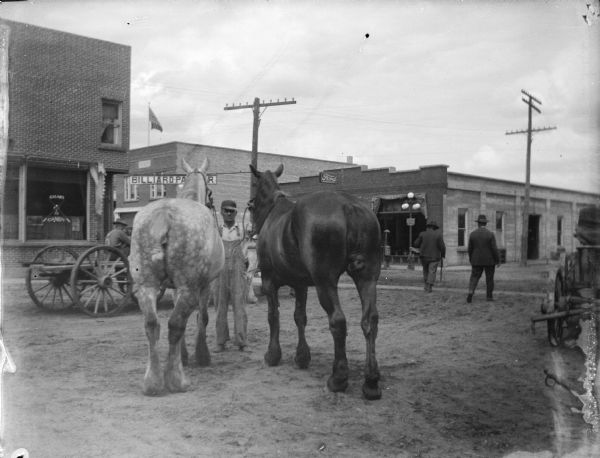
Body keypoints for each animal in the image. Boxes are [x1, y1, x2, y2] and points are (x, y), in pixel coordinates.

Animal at [130, 159, 224, 396]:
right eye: (210, 192)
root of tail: (165, 214)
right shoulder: (204, 286)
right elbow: (202, 318)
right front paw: (201, 355)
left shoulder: (173, 287)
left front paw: (183, 355)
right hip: (189, 288)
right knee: (175, 325)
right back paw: (176, 380)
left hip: (146, 286)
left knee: (152, 325)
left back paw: (152, 382)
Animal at [251, 164, 382, 398]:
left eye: (254, 188)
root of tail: (349, 206)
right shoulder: (301, 284)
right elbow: (299, 317)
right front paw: (302, 356)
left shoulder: (268, 282)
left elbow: (273, 317)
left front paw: (272, 355)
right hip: (367, 277)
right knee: (370, 320)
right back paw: (371, 381)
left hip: (325, 281)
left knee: (338, 321)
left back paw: (338, 379)